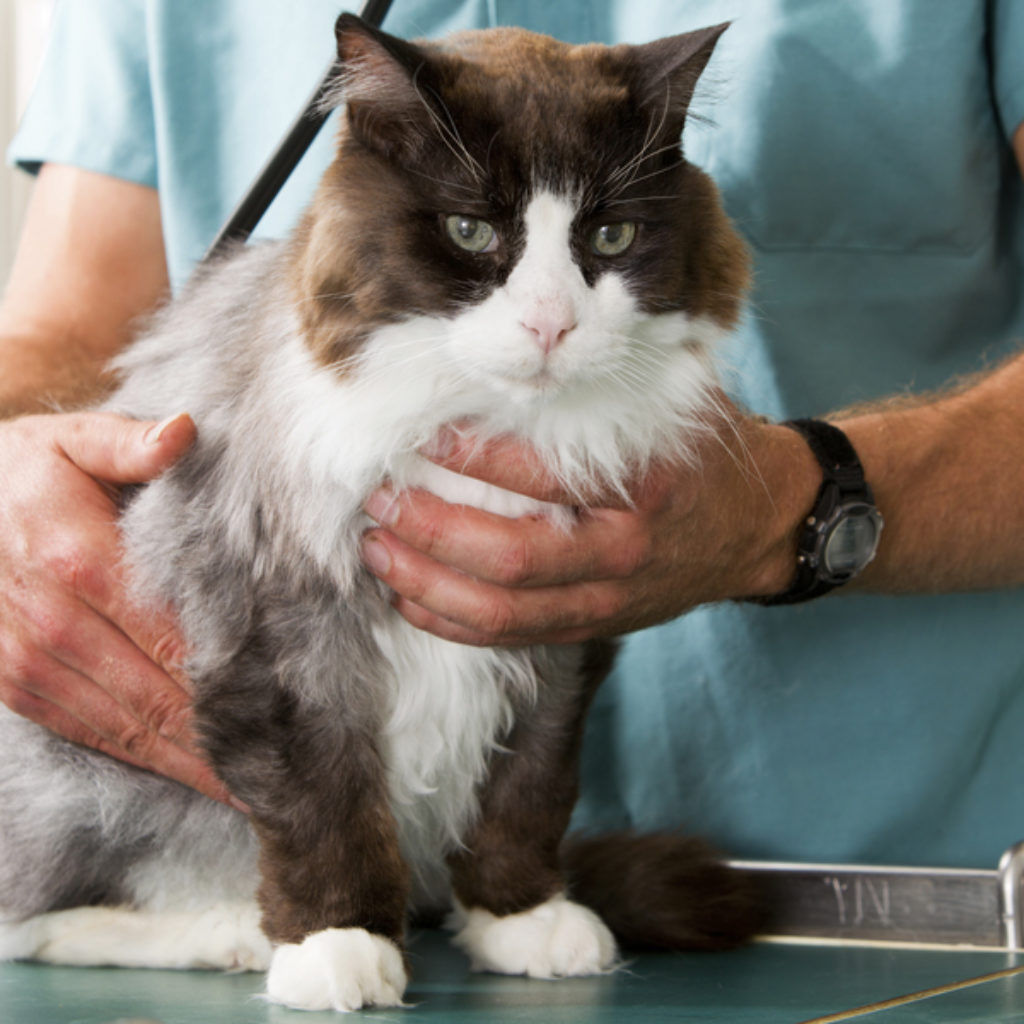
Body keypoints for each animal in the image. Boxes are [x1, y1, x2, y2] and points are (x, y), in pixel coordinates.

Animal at [0, 12, 753, 1011]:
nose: (551, 324)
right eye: (471, 231)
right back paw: (227, 932)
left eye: (611, 235)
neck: (481, 424)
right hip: (85, 779)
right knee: (31, 915)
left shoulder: (559, 639)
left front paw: (520, 917)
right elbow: (323, 807)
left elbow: (528, 790)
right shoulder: (283, 639)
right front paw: (338, 946)